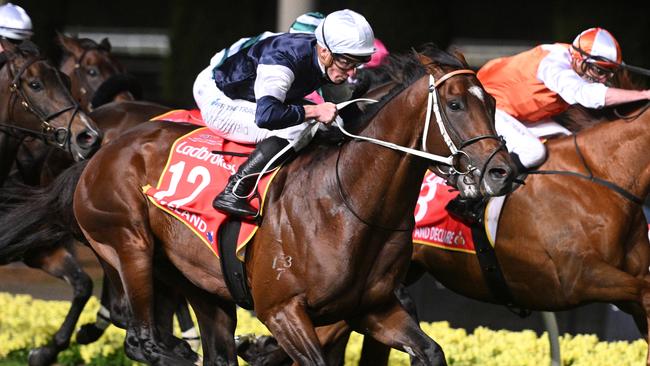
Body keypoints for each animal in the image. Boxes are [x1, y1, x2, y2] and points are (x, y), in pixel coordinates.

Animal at [64, 44, 516, 364]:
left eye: (493, 104)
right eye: (455, 104)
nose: (503, 171)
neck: (348, 206)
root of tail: (103, 150)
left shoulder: (374, 308)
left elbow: (431, 351)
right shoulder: (283, 311)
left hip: (201, 284)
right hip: (128, 246)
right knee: (144, 344)